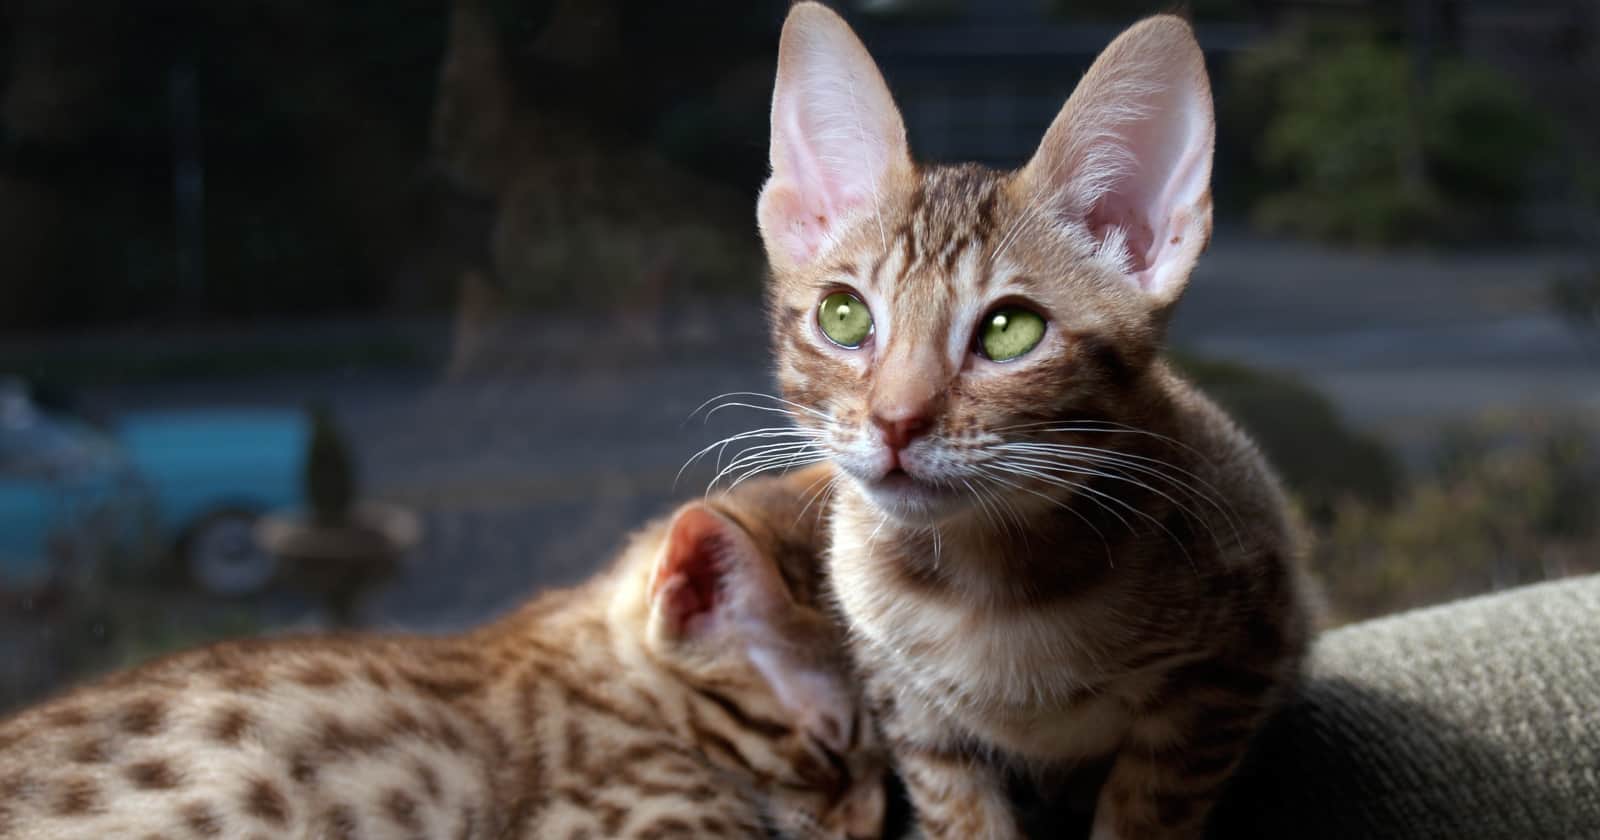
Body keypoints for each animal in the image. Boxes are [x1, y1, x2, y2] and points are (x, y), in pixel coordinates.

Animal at [755, 6, 1318, 838]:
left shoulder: (1234, 662)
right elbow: (961, 814)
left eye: (1009, 331)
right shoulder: (911, 710)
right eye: (844, 316)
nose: (895, 421)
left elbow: (1148, 811)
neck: (984, 587)